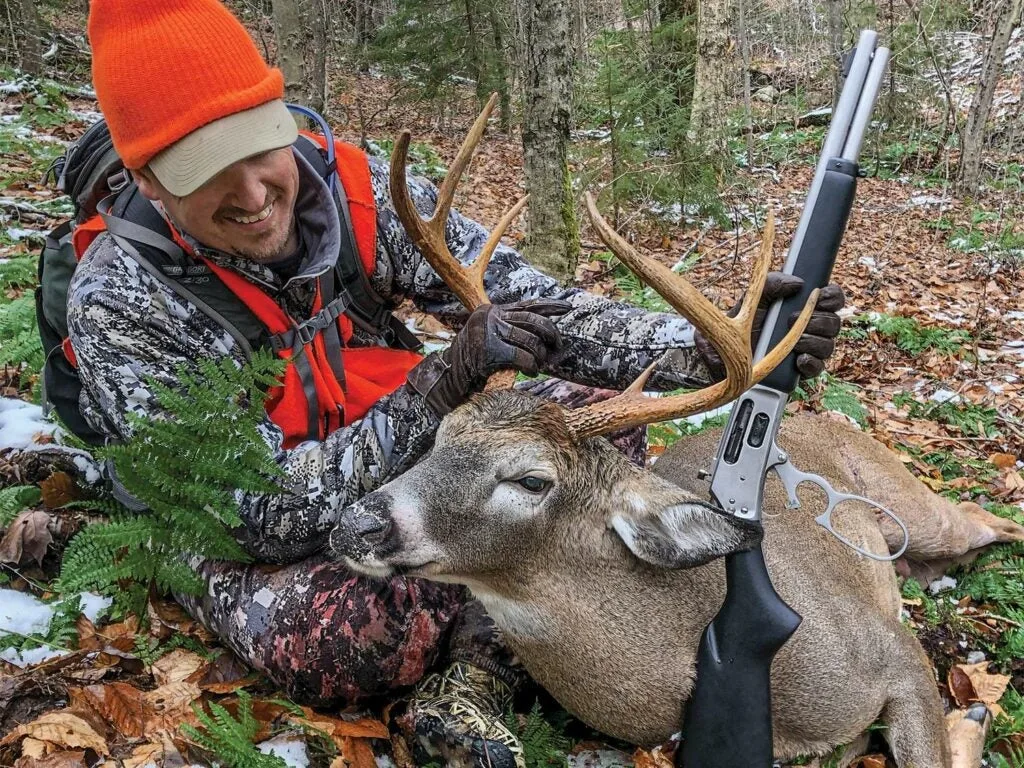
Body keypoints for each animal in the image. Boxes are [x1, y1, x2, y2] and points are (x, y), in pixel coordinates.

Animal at [331, 96, 1019, 768]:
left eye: (531, 480)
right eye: (440, 434)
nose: (356, 523)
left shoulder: (892, 651)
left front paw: (969, 717)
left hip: (909, 503)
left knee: (979, 517)